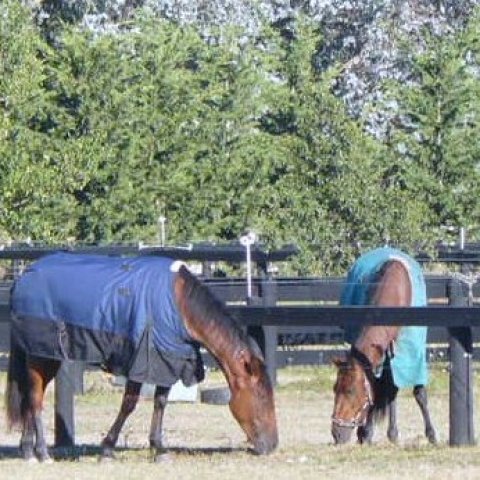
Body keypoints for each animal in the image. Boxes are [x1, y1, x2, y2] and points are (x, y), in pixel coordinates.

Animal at [4, 253, 278, 464]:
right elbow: (129, 404)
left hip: (47, 356)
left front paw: (159, 449)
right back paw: (42, 452)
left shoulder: (168, 361)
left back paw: (27, 450)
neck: (178, 305)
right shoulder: (140, 361)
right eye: (263, 396)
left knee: (30, 397)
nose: (272, 444)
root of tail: (24, 276)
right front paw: (107, 449)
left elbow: (160, 403)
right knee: (35, 399)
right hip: (41, 357)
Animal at [332, 248, 436, 446]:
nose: (336, 434)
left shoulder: (412, 352)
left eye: (351, 391)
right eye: (335, 389)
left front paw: (431, 434)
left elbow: (419, 392)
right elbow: (380, 388)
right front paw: (368, 433)